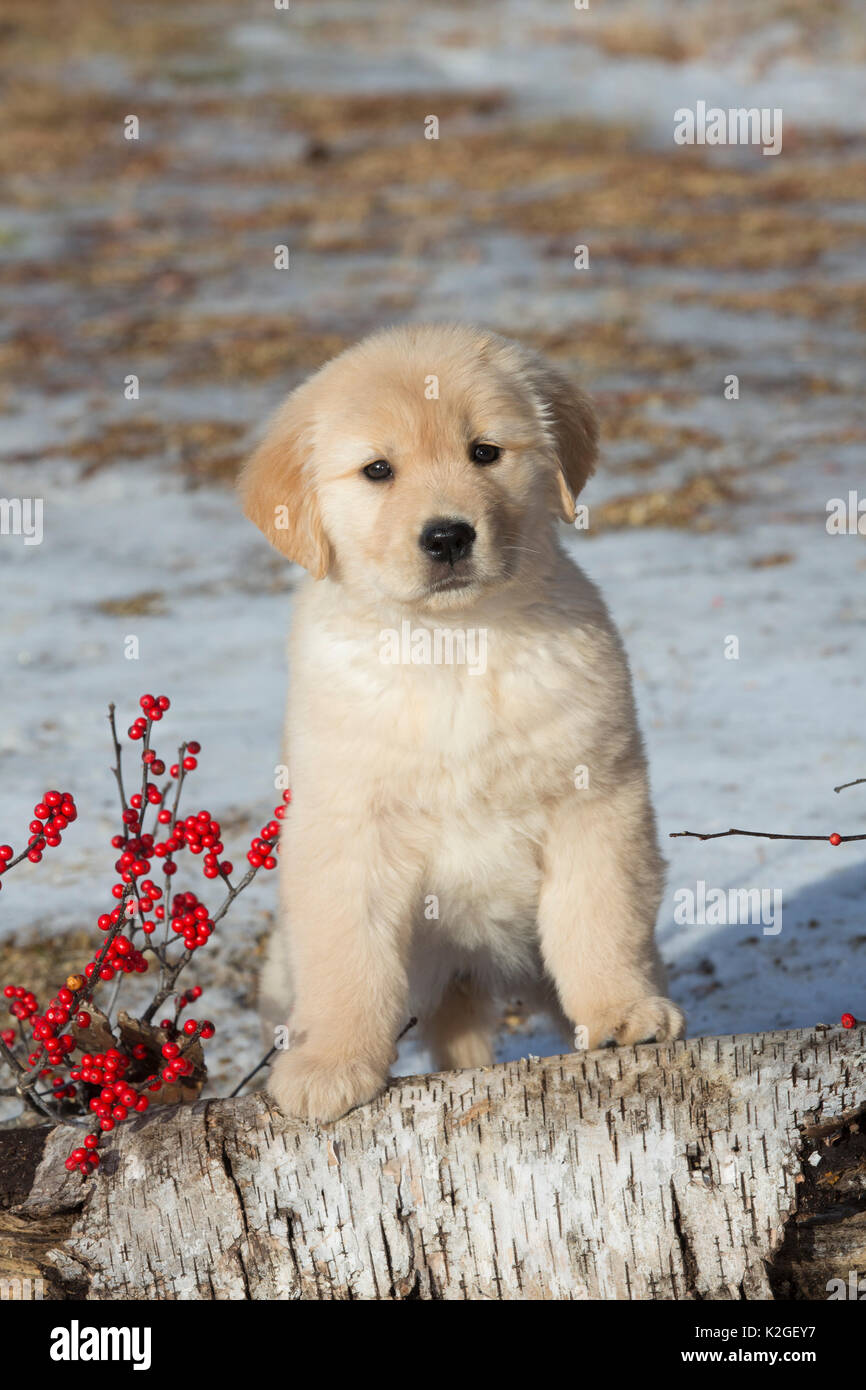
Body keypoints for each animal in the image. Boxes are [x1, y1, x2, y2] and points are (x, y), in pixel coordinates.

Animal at [237, 319, 683, 1123]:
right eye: (378, 470)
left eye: (485, 452)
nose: (447, 537)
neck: (452, 644)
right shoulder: (347, 825)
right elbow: (348, 958)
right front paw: (331, 1065)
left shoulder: (595, 796)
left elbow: (598, 917)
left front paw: (622, 1012)